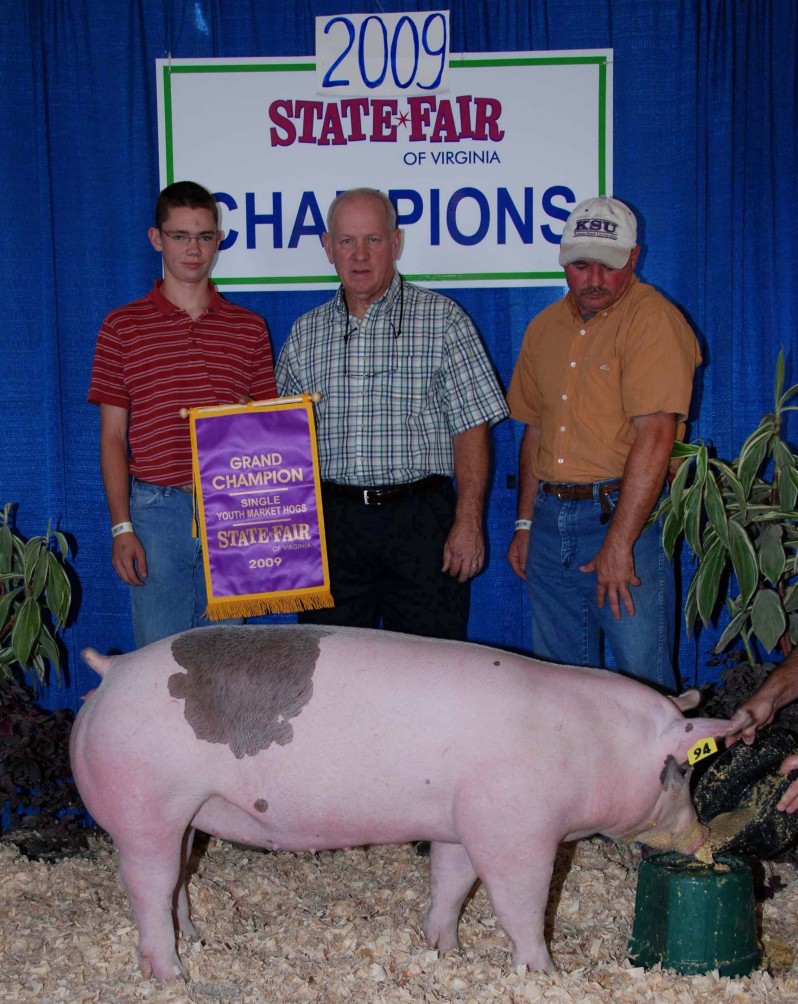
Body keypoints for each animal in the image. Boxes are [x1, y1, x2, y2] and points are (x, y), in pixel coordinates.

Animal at [70, 626, 734, 979]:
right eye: (680, 772)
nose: (705, 840)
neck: (590, 745)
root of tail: (110, 673)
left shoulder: (458, 822)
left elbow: (451, 882)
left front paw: (445, 950)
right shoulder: (513, 825)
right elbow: (519, 900)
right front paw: (547, 973)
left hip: (185, 815)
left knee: (179, 878)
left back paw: (198, 940)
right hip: (143, 802)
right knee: (149, 885)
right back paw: (173, 974)